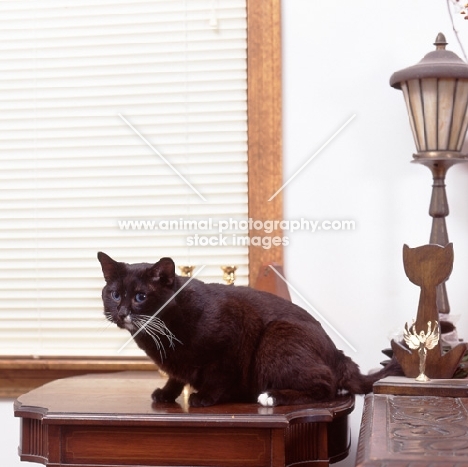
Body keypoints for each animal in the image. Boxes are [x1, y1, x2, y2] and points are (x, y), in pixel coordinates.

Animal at [97, 252, 400, 406]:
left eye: (140, 296)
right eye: (114, 294)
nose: (121, 312)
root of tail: (340, 358)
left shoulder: (232, 336)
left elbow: (219, 374)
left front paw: (205, 397)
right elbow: (176, 376)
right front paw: (167, 393)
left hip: (276, 336)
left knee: (326, 385)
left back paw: (272, 396)